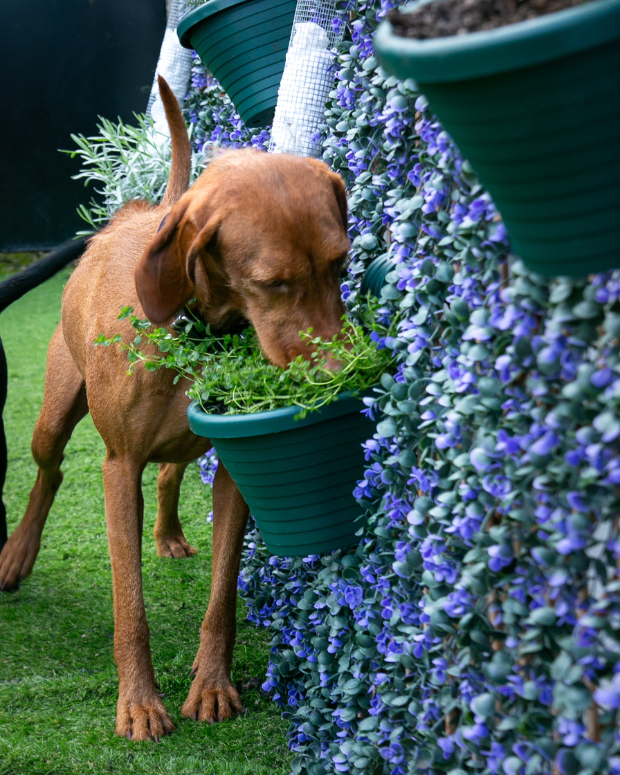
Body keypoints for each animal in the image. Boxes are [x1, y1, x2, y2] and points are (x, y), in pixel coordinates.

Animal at [0, 77, 348, 740]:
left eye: (341, 263)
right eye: (271, 282)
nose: (340, 373)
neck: (194, 323)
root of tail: (137, 213)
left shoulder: (239, 468)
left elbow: (222, 596)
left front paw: (210, 684)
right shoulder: (117, 467)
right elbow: (129, 606)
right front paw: (139, 703)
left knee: (170, 469)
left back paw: (167, 534)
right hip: (54, 414)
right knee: (49, 470)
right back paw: (18, 552)